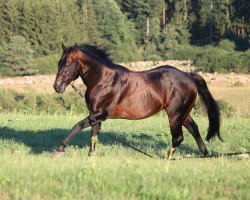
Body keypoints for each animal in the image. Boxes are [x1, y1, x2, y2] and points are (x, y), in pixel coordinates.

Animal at [52, 43, 221, 159]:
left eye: (68, 64)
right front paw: (90, 156)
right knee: (194, 128)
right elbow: (93, 135)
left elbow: (78, 125)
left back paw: (166, 158)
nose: (57, 87)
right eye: (58, 63)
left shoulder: (102, 114)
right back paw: (204, 154)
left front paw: (59, 149)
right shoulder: (95, 115)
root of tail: (188, 76)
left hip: (175, 114)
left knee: (178, 137)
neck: (103, 80)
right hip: (182, 114)